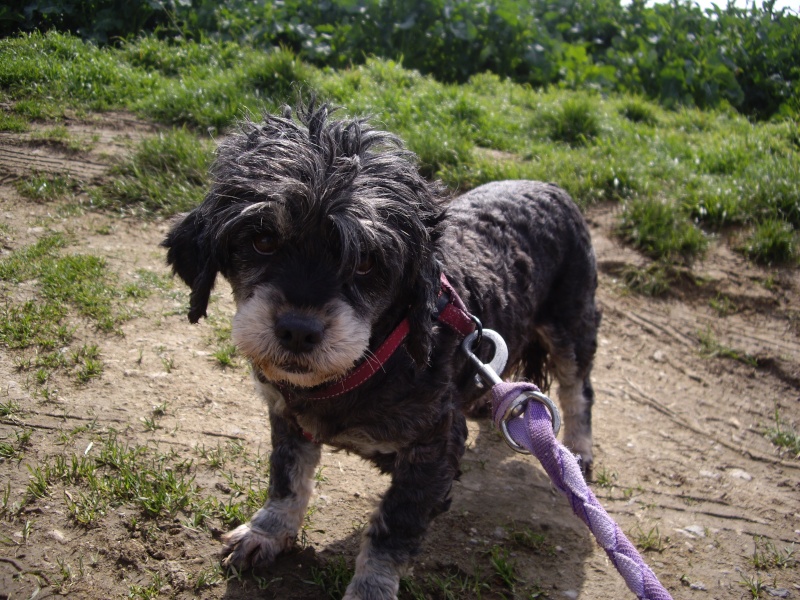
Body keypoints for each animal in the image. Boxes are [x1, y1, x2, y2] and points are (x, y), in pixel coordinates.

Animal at [162, 104, 600, 600]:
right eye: (263, 240)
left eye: (367, 262)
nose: (297, 331)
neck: (369, 363)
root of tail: (549, 186)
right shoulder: (287, 416)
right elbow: (286, 480)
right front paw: (266, 532)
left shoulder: (433, 449)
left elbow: (392, 530)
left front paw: (370, 586)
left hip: (571, 322)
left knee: (578, 389)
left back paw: (576, 451)